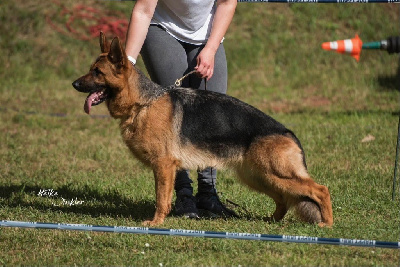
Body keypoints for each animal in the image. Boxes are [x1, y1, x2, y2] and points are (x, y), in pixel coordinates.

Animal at [71, 32, 332, 227]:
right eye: (91, 69)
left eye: (97, 72)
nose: (74, 84)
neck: (143, 102)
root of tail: (289, 133)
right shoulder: (166, 168)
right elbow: (165, 196)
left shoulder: (163, 166)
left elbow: (161, 199)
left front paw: (156, 223)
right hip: (258, 176)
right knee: (283, 199)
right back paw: (272, 220)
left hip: (276, 174)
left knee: (320, 190)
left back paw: (326, 224)